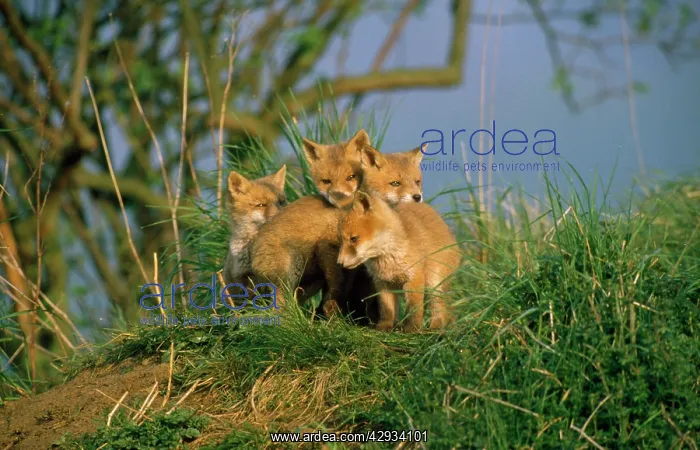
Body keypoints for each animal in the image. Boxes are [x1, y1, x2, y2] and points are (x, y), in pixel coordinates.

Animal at [337, 191, 461, 332]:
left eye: (354, 239)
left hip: (434, 283)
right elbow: (387, 310)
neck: (388, 259)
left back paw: (436, 327)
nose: (339, 263)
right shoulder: (382, 282)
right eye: (341, 240)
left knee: (439, 308)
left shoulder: (414, 278)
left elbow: (414, 310)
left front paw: (412, 330)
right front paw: (384, 327)